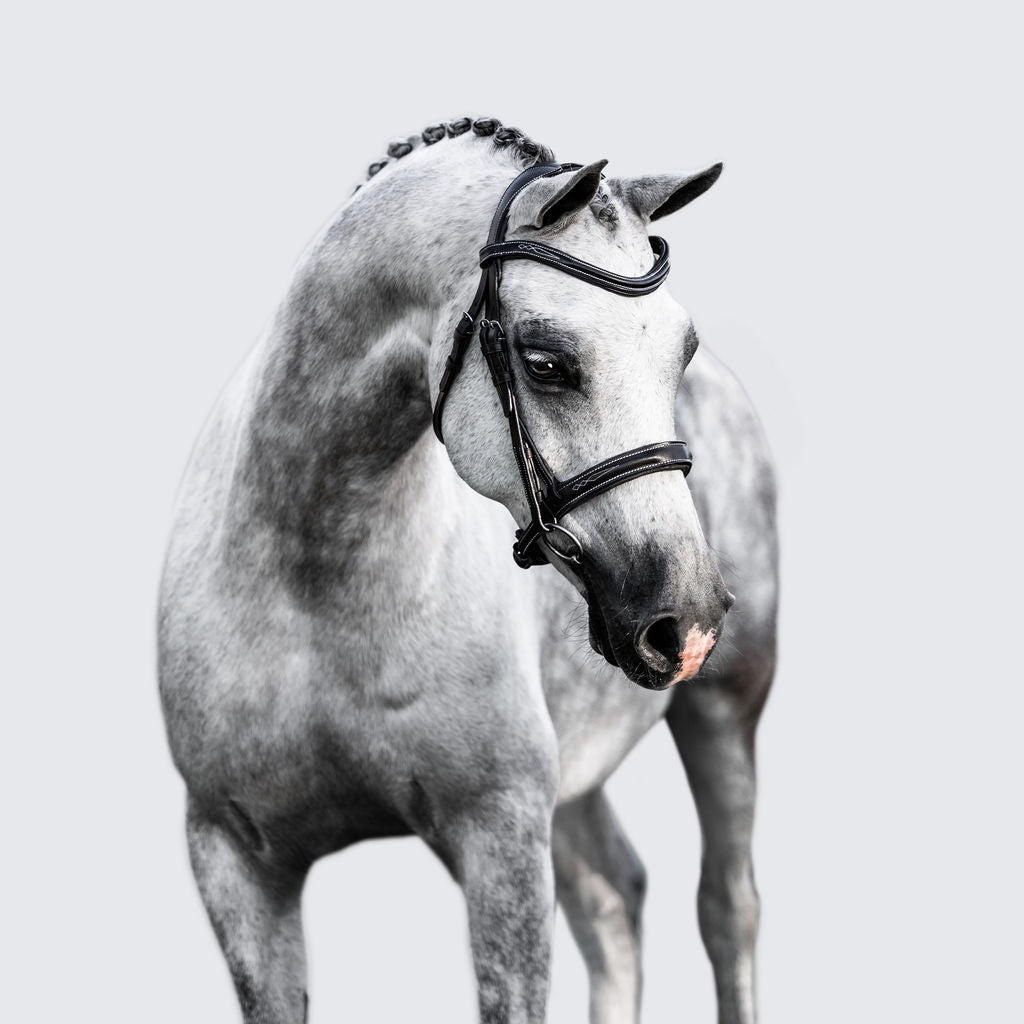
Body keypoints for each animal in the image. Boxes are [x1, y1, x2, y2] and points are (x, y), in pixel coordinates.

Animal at [157, 115, 778, 1024]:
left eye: (683, 351)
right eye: (546, 360)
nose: (686, 619)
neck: (314, 581)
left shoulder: (502, 841)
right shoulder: (235, 861)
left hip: (724, 712)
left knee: (727, 910)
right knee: (615, 900)